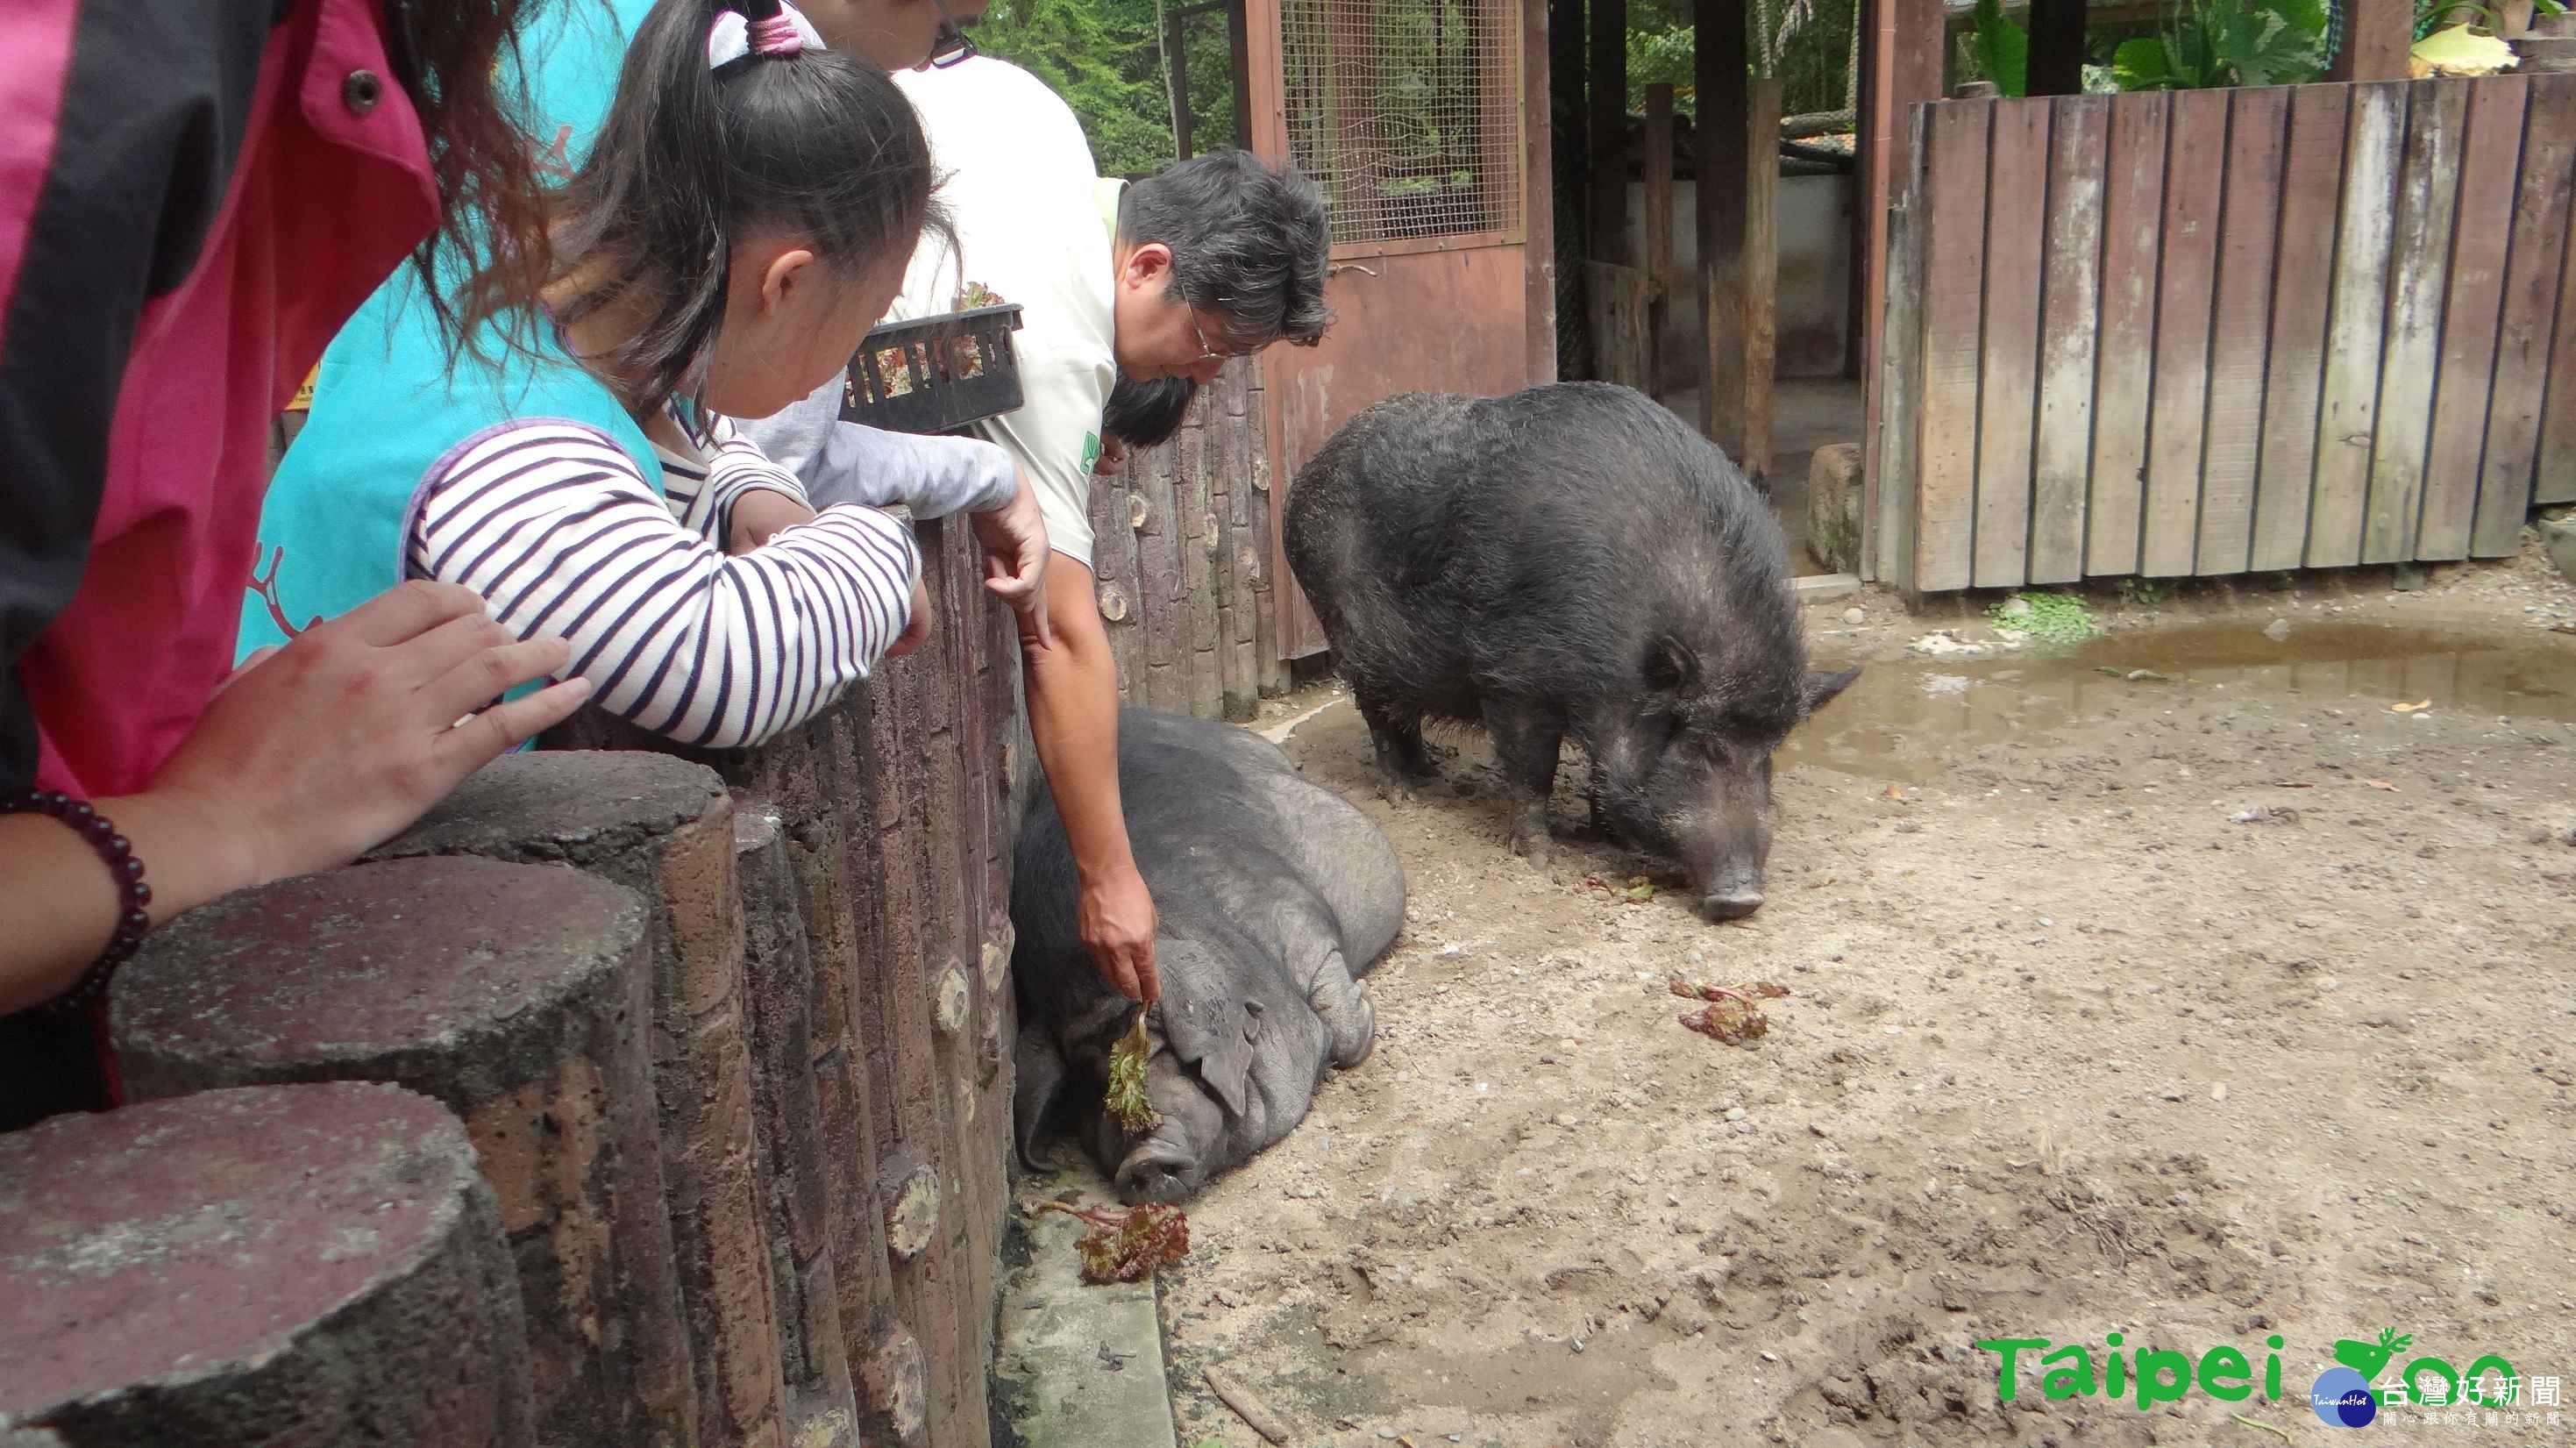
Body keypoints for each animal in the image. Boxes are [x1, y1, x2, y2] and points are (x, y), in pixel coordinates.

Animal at [1004, 705, 1412, 1200]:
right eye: (1089, 1083)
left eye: (1155, 1046)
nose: (1136, 1164)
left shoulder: (1296, 918)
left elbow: (1343, 1020)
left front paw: (1365, 1000)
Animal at [1283, 378, 1854, 917]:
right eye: (1702, 745)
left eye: (1770, 749)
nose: (1743, 899)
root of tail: (1305, 478)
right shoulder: (1511, 678)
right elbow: (1533, 769)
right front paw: (1540, 861)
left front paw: (1607, 836)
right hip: (1346, 633)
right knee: (1378, 714)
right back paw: (1403, 796)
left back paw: (1431, 773)